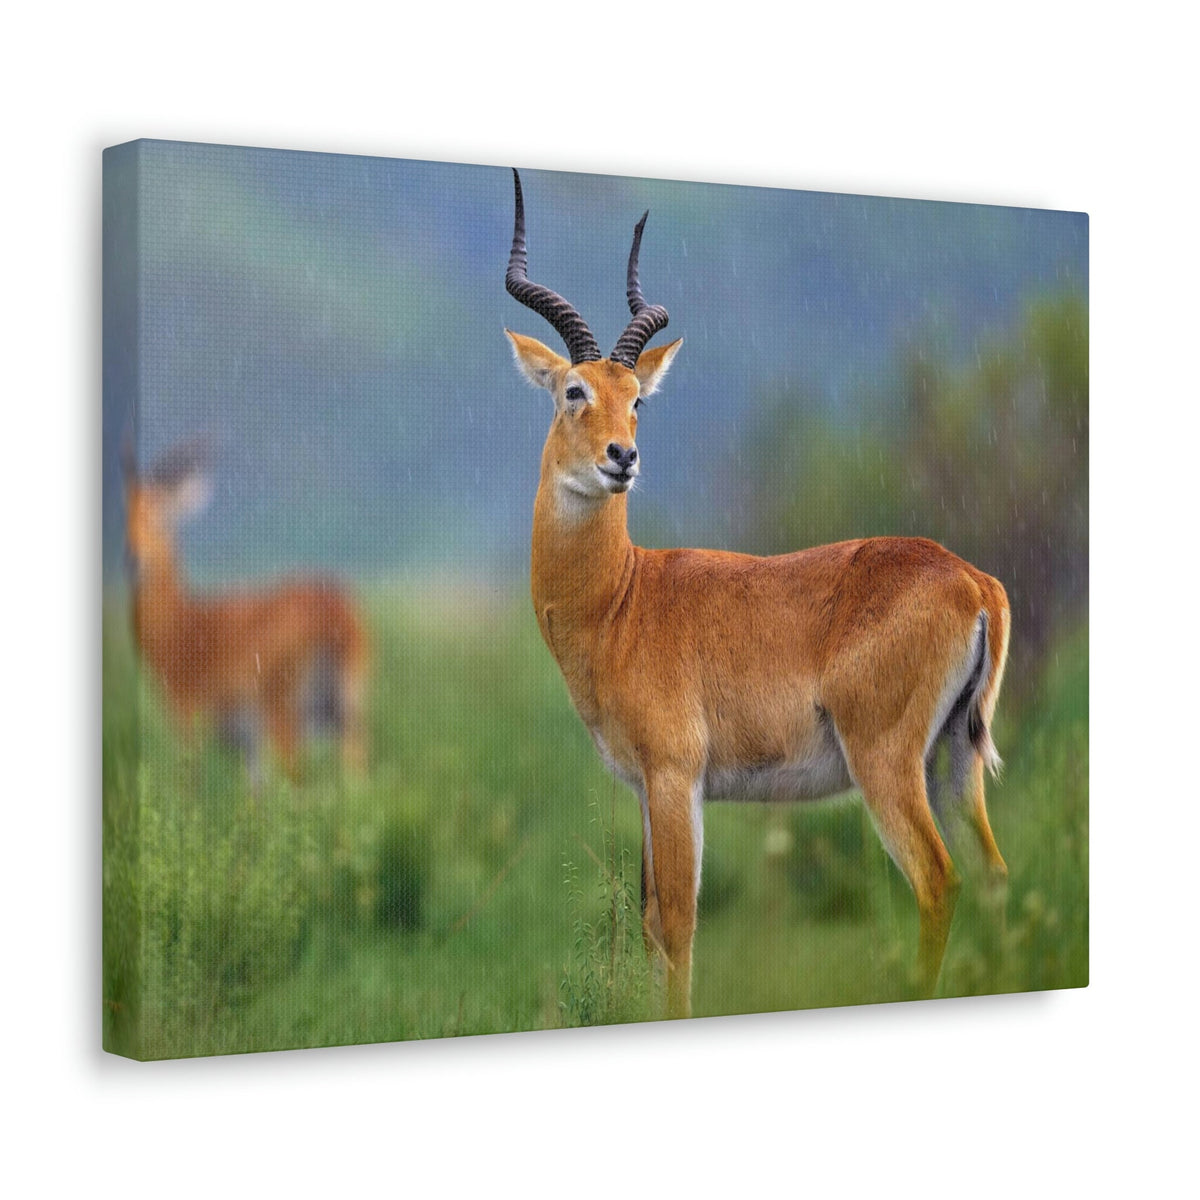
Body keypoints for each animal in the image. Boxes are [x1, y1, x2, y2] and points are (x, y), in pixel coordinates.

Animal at [124, 439, 370, 781]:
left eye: (159, 513)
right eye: (124, 513)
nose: (132, 558)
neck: (182, 626)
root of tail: (334, 611)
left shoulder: (189, 720)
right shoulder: (249, 748)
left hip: (285, 714)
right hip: (345, 711)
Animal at [503, 169, 1010, 1017]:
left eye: (637, 397)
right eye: (574, 391)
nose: (622, 458)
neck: (621, 600)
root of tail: (973, 580)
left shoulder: (676, 777)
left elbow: (676, 922)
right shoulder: (646, 788)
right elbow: (650, 918)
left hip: (887, 762)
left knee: (940, 882)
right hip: (955, 757)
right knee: (998, 877)